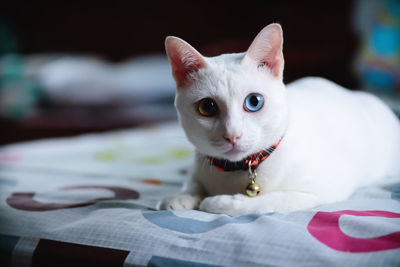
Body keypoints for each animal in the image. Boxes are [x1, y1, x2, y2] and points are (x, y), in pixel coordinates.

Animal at [159, 23, 400, 218]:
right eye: (207, 107)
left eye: (254, 102)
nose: (232, 135)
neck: (238, 169)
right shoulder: (199, 163)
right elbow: (192, 182)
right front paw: (179, 198)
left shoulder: (320, 189)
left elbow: (263, 202)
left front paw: (216, 202)